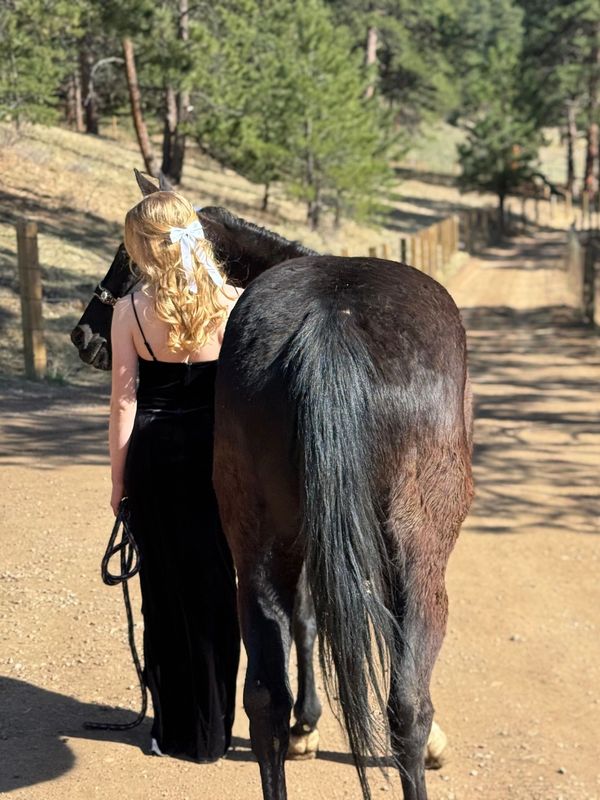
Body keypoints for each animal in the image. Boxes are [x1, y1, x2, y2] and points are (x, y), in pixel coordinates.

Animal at [72, 175, 473, 800]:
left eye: (125, 257)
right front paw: (320, 728)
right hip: (418, 555)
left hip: (257, 542)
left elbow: (305, 619)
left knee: (263, 698)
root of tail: (332, 320)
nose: (84, 335)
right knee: (406, 703)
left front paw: (306, 726)